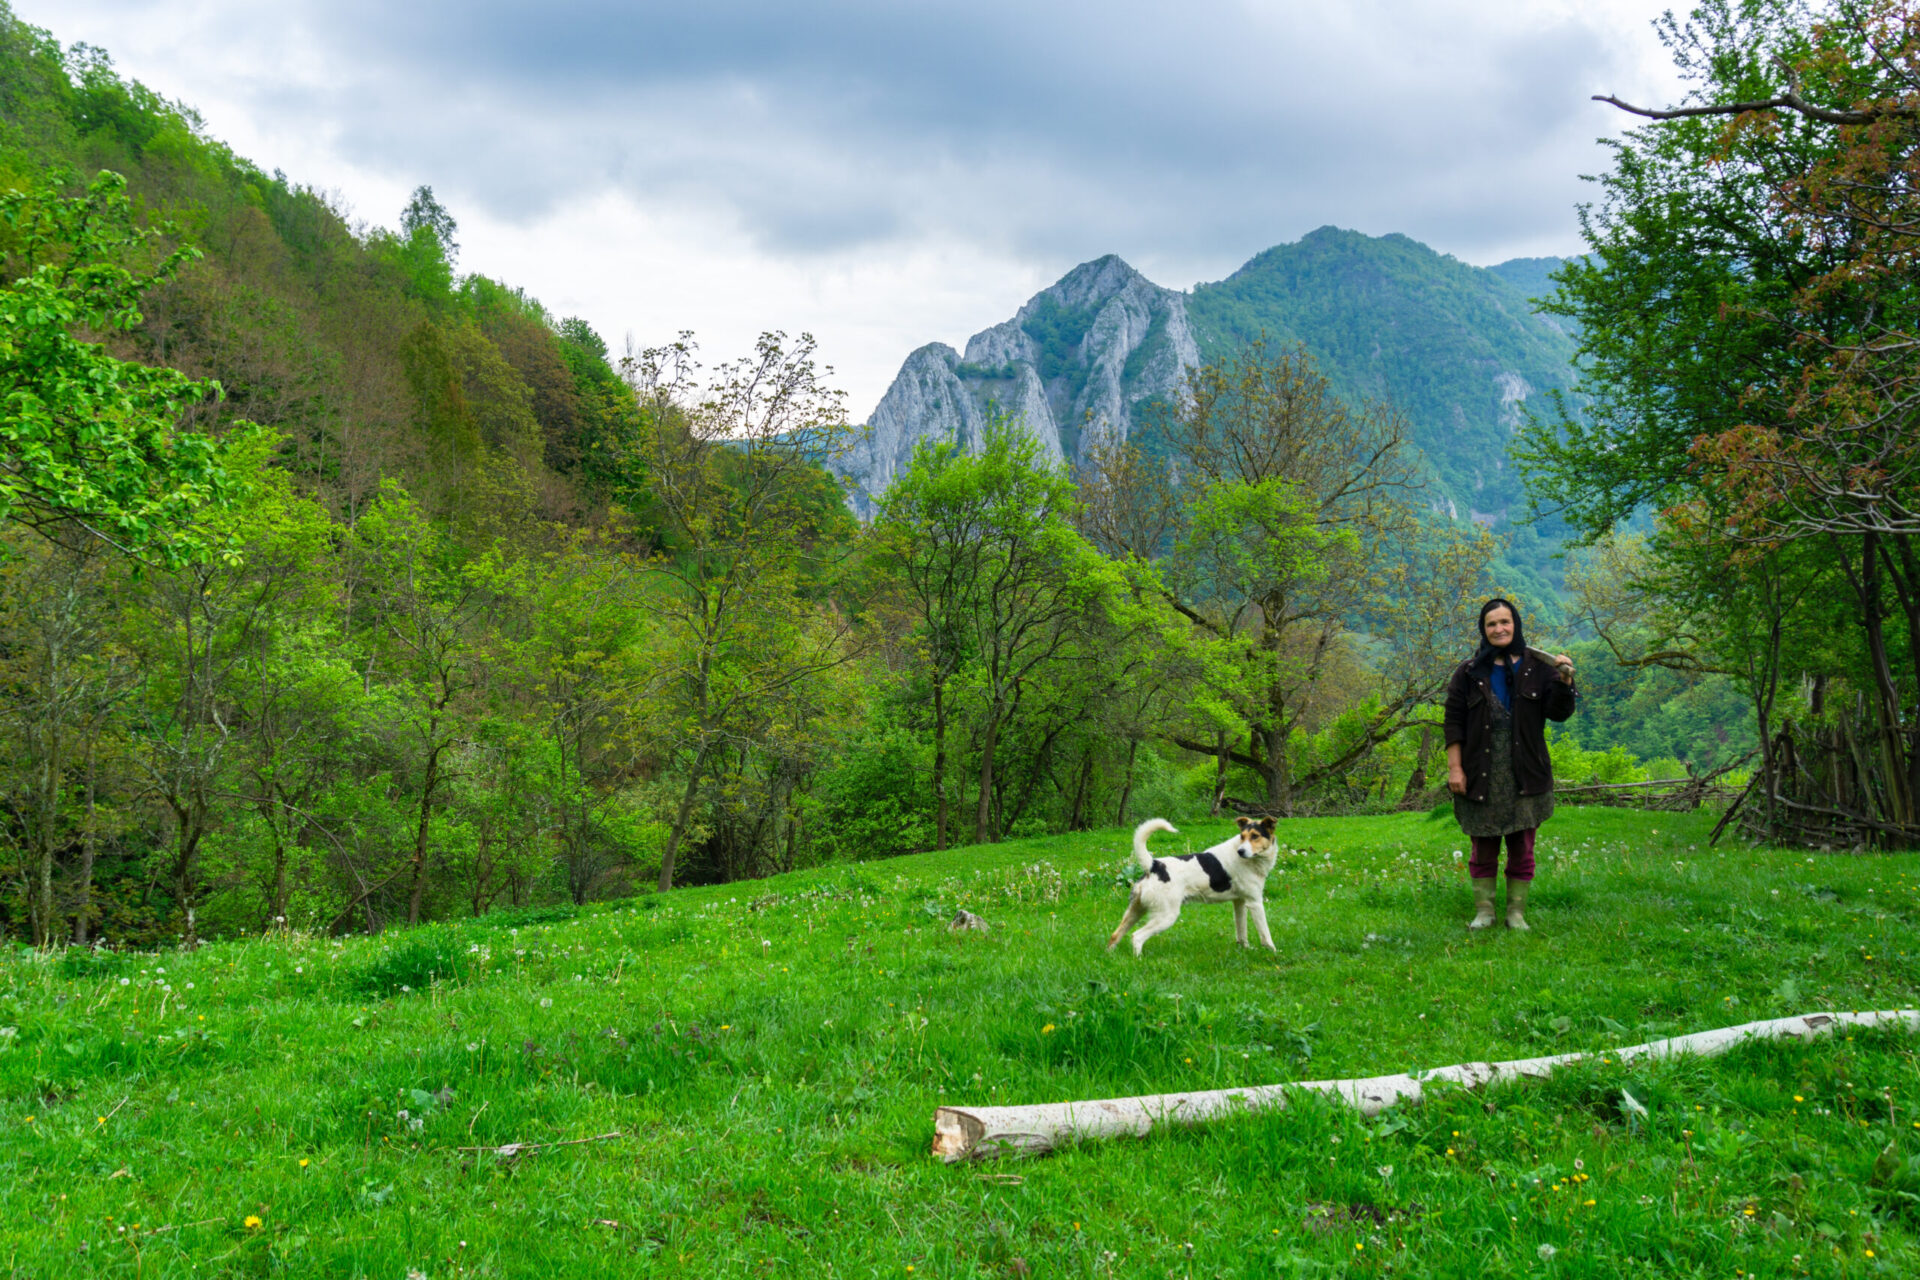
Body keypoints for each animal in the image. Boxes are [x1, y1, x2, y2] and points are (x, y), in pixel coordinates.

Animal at [1105, 817, 1282, 955]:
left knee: (1115, 935)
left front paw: (1244, 949)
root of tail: (1154, 865)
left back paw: (1111, 956)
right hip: (1166, 916)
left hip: (1135, 911)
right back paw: (1139, 959)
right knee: (1137, 936)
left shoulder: (1239, 903)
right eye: (1242, 836)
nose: (1241, 851)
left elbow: (1242, 932)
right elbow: (1265, 934)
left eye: (1255, 836)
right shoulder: (1255, 903)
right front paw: (1273, 952)